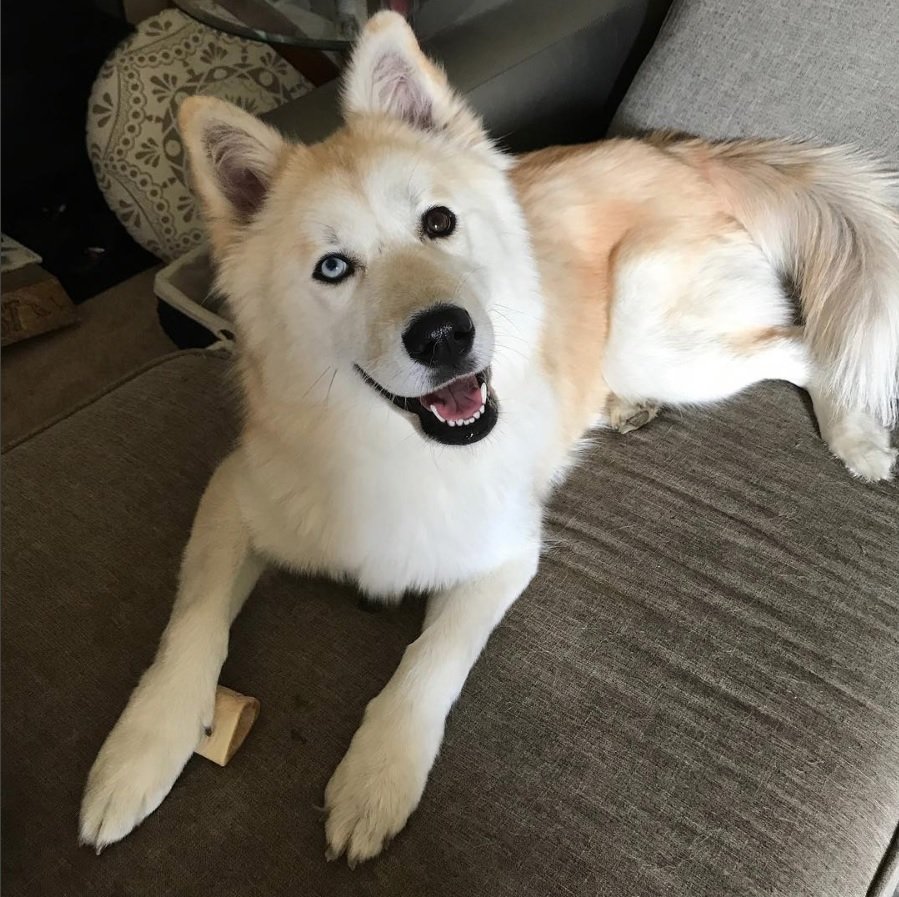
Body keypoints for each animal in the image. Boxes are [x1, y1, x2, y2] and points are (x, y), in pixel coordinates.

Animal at [79, 10, 899, 864]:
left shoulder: (502, 556)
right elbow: (189, 629)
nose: (445, 334)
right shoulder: (233, 499)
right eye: (333, 267)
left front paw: (377, 774)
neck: (399, 451)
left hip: (648, 331)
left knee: (807, 343)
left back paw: (852, 434)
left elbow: (427, 664)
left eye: (437, 223)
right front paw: (137, 753)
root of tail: (678, 151)